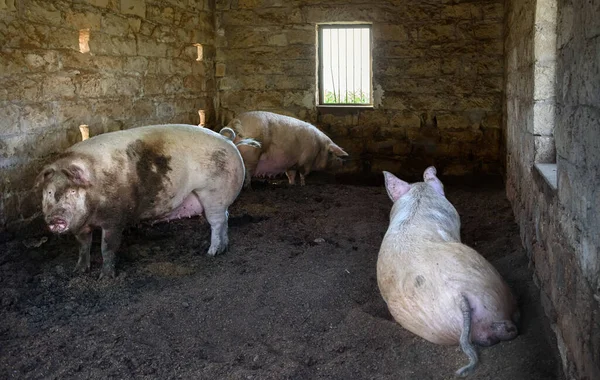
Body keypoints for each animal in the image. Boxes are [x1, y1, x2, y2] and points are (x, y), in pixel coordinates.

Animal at [34, 124, 256, 280]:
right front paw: (78, 271)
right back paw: (223, 249)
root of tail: (227, 139)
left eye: (72, 191)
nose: (56, 218)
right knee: (225, 218)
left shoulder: (115, 218)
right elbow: (83, 246)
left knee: (217, 222)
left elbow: (108, 247)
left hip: (213, 193)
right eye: (48, 192)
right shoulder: (81, 225)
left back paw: (211, 253)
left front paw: (105, 278)